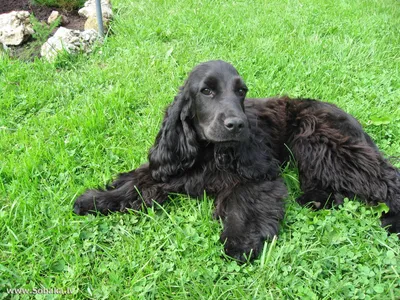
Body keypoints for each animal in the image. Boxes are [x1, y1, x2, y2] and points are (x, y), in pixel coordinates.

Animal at [73, 60, 398, 260]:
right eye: (206, 90)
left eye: (241, 91)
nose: (237, 125)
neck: (208, 152)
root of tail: (350, 117)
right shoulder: (172, 167)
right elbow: (139, 183)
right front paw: (98, 199)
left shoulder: (258, 175)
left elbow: (244, 203)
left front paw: (240, 241)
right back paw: (317, 199)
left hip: (319, 139)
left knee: (385, 178)